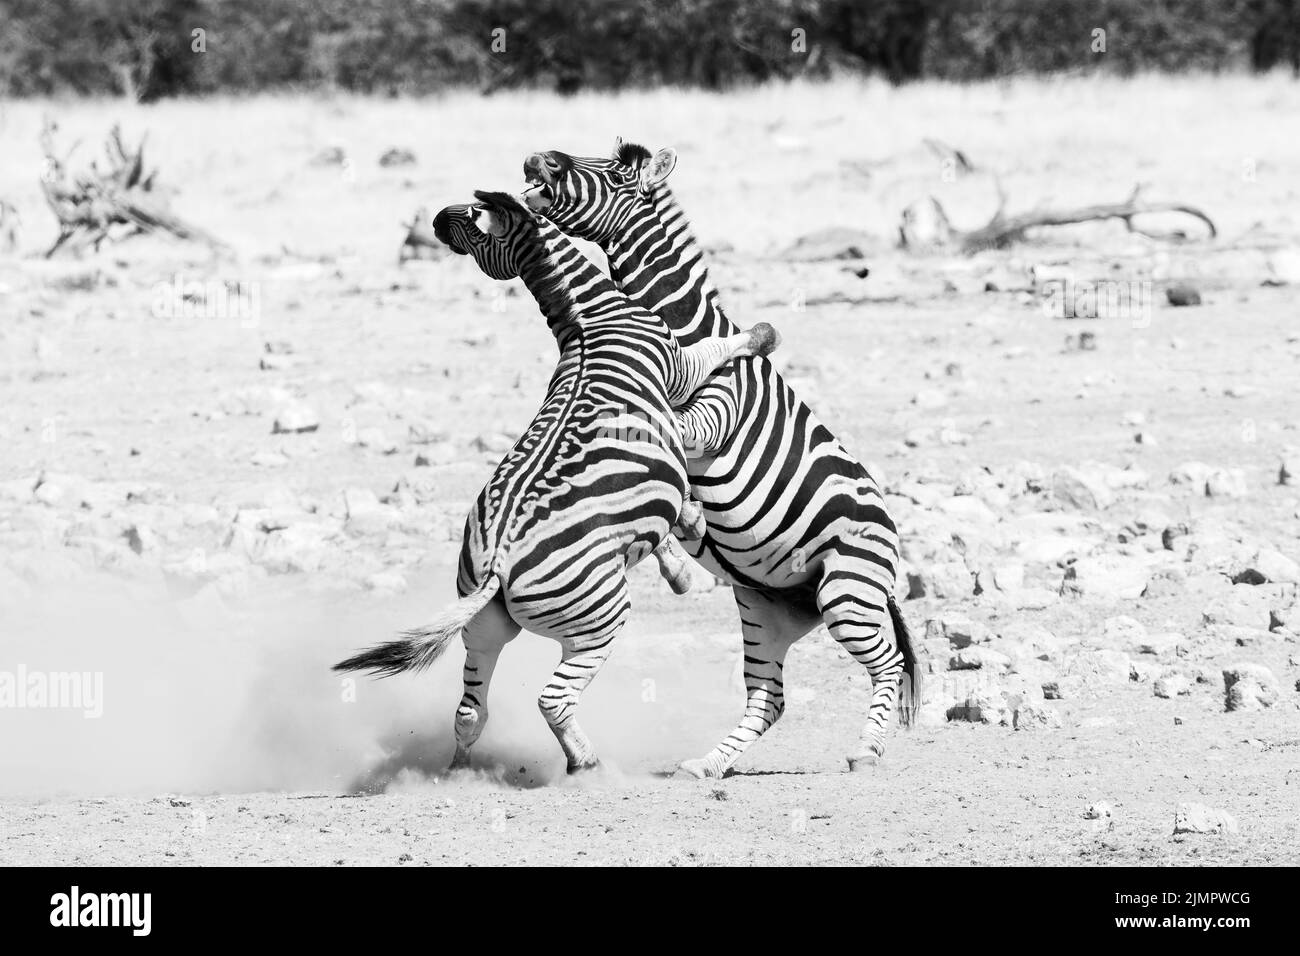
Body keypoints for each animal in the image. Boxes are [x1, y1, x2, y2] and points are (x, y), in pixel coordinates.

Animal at [338, 191, 780, 775]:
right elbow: (724, 349)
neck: (589, 320)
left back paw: (459, 771)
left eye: (470, 218)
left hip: (482, 629)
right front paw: (766, 334)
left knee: (469, 710)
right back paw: (586, 765)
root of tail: (496, 567)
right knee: (553, 699)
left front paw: (680, 560)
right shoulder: (679, 363)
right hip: (599, 621)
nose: (432, 221)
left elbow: (668, 508)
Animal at [520, 140, 925, 780]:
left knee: (886, 663)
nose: (540, 159)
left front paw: (684, 525)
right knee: (768, 698)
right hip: (764, 606)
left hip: (847, 586)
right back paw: (708, 764)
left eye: (617, 175)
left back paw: (864, 752)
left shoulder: (711, 417)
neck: (682, 326)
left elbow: (669, 440)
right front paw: (679, 539)